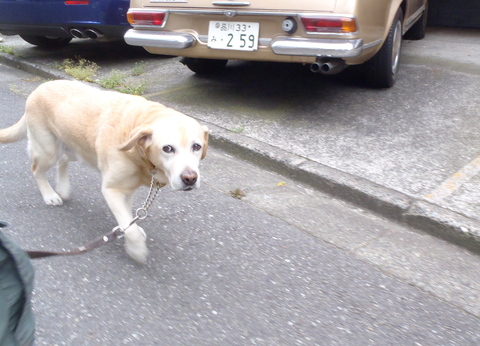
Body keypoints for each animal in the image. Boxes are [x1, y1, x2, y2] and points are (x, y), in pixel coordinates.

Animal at [0, 80, 208, 262]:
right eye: (167, 148)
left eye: (197, 147)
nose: (190, 178)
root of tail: (39, 88)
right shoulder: (112, 189)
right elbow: (130, 227)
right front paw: (136, 249)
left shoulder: (127, 189)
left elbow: (127, 217)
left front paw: (125, 229)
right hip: (48, 151)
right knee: (37, 170)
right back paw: (50, 195)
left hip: (75, 148)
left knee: (64, 160)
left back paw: (63, 187)